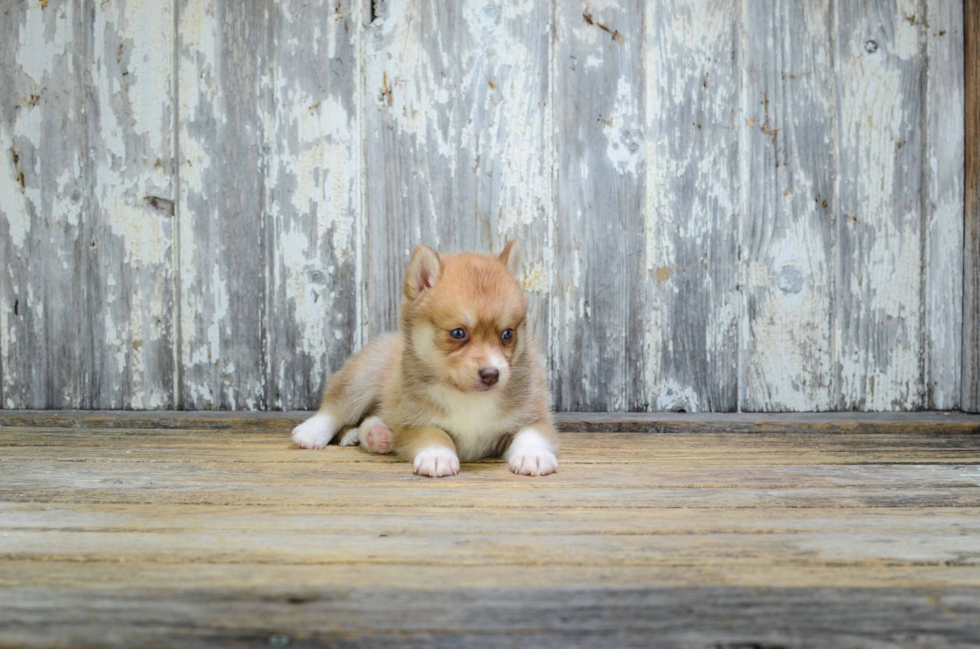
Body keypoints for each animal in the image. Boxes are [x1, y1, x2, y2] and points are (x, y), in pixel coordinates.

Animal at [290, 240, 560, 478]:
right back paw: (312, 433)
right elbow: (435, 434)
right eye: (458, 333)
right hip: (363, 376)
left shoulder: (535, 416)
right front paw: (437, 455)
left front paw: (533, 456)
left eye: (507, 334)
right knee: (336, 407)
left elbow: (531, 434)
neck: (467, 397)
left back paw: (377, 434)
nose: (491, 374)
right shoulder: (412, 423)